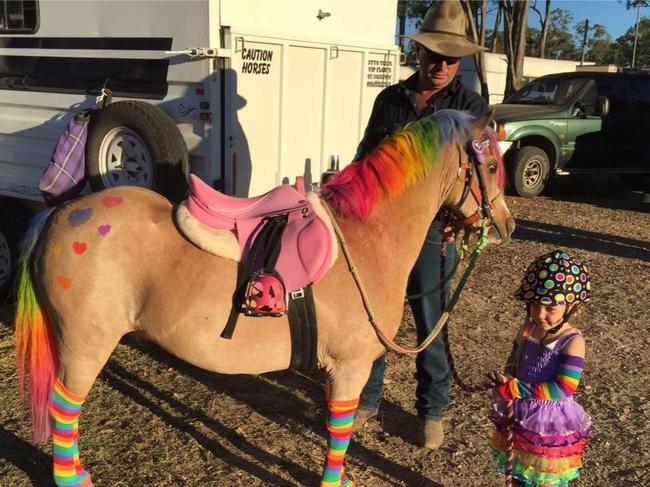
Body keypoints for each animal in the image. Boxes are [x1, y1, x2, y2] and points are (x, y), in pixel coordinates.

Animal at [12, 110, 512, 487]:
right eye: (490, 167)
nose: (506, 226)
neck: (364, 237)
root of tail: (59, 214)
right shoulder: (349, 368)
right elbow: (340, 431)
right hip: (85, 345)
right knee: (63, 408)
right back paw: (71, 478)